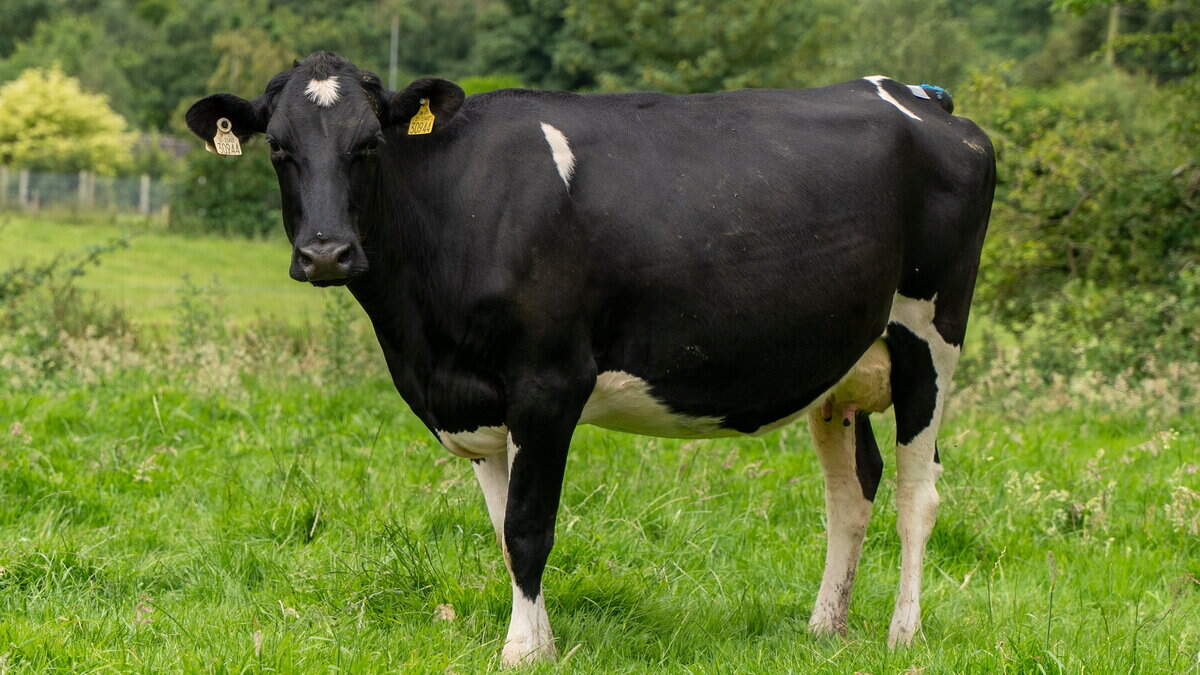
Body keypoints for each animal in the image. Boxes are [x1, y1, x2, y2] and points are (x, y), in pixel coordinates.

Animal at [186, 52, 994, 666]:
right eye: (279, 148)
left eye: (369, 146)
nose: (326, 253)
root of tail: (921, 96)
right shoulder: (478, 400)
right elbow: (504, 529)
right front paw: (539, 640)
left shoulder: (547, 384)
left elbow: (528, 527)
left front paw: (520, 652)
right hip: (843, 364)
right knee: (851, 491)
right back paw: (827, 626)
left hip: (930, 336)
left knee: (918, 493)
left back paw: (902, 633)